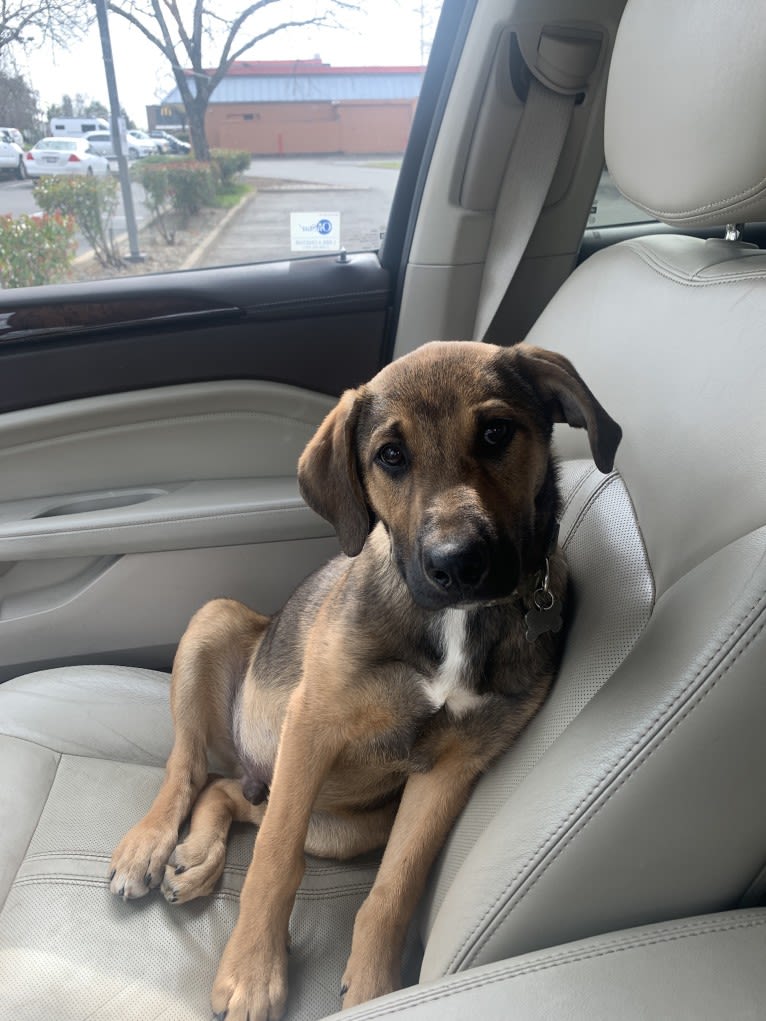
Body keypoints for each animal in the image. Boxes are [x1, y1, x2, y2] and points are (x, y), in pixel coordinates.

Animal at [109, 343, 625, 1021]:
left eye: (496, 433)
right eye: (391, 456)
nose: (457, 565)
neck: (453, 623)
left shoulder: (452, 768)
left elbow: (392, 887)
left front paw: (375, 985)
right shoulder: (312, 726)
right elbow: (275, 861)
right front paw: (252, 972)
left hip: (348, 827)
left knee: (231, 793)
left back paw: (195, 859)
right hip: (215, 625)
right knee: (190, 770)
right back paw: (149, 846)